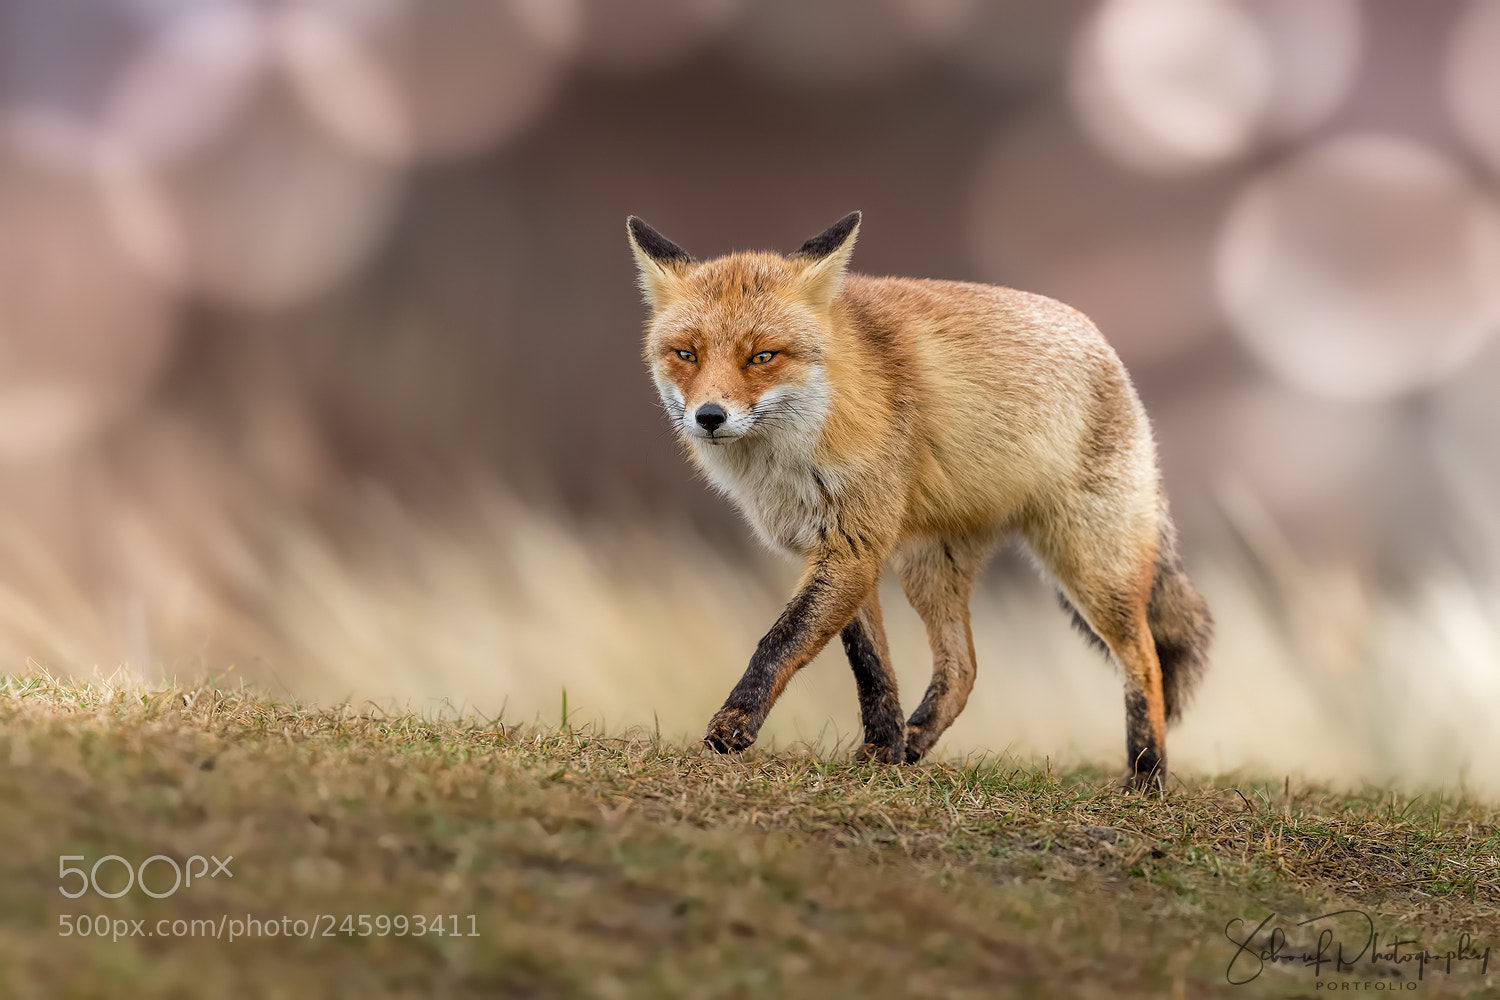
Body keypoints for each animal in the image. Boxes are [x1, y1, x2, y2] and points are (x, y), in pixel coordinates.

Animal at [627, 211, 1212, 791]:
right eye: (686, 355)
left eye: (762, 357)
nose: (709, 416)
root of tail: (1105, 345)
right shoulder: (846, 548)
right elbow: (871, 665)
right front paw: (882, 749)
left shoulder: (852, 547)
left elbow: (781, 641)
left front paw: (735, 724)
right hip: (929, 568)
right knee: (963, 668)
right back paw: (913, 742)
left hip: (1091, 566)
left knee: (1146, 659)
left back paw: (1146, 775)